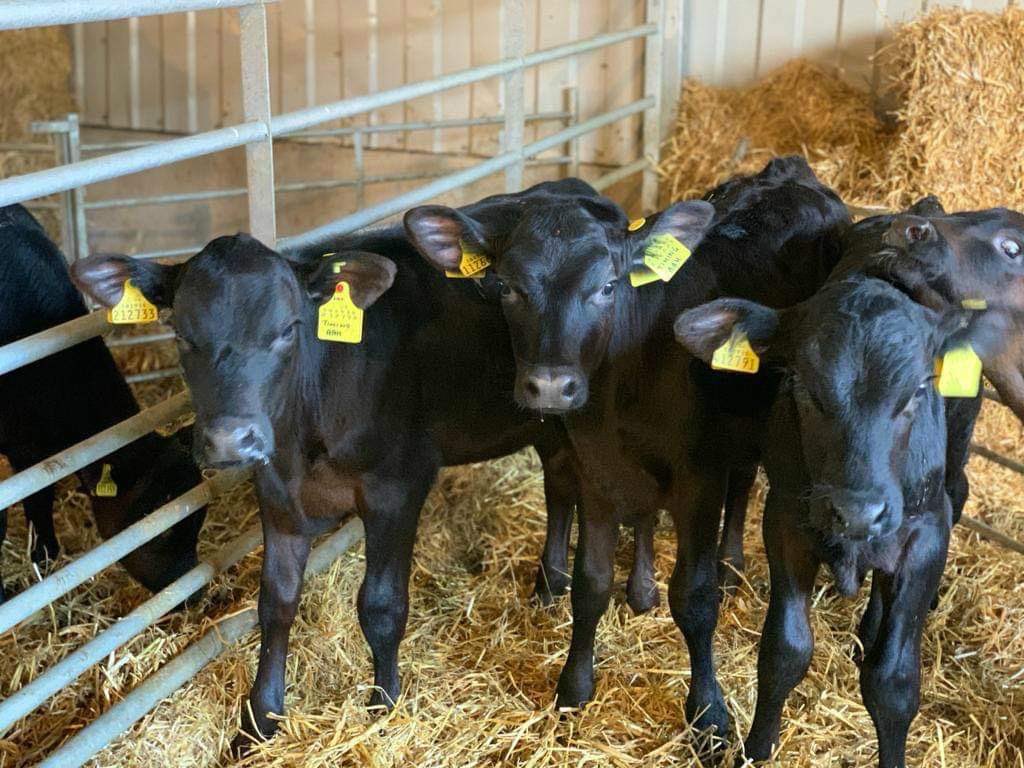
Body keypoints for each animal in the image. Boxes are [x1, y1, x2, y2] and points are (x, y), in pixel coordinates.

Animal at [71, 179, 657, 752]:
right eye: (181, 335)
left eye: (288, 329)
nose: (231, 439)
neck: (307, 437)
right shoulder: (277, 495)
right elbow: (275, 604)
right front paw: (259, 720)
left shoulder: (397, 487)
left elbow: (381, 606)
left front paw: (384, 705)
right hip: (546, 423)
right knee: (559, 485)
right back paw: (549, 586)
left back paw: (631, 592)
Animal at [403, 157, 851, 746]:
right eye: (509, 288)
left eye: (607, 286)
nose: (550, 387)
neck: (628, 384)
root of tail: (789, 169)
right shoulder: (596, 470)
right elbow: (590, 584)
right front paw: (573, 689)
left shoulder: (698, 481)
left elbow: (695, 598)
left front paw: (708, 713)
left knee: (743, 482)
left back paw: (731, 564)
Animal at [674, 276, 998, 768]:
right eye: (802, 384)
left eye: (918, 389)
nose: (858, 511)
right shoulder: (786, 520)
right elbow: (784, 652)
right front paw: (758, 749)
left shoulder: (927, 535)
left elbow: (893, 684)